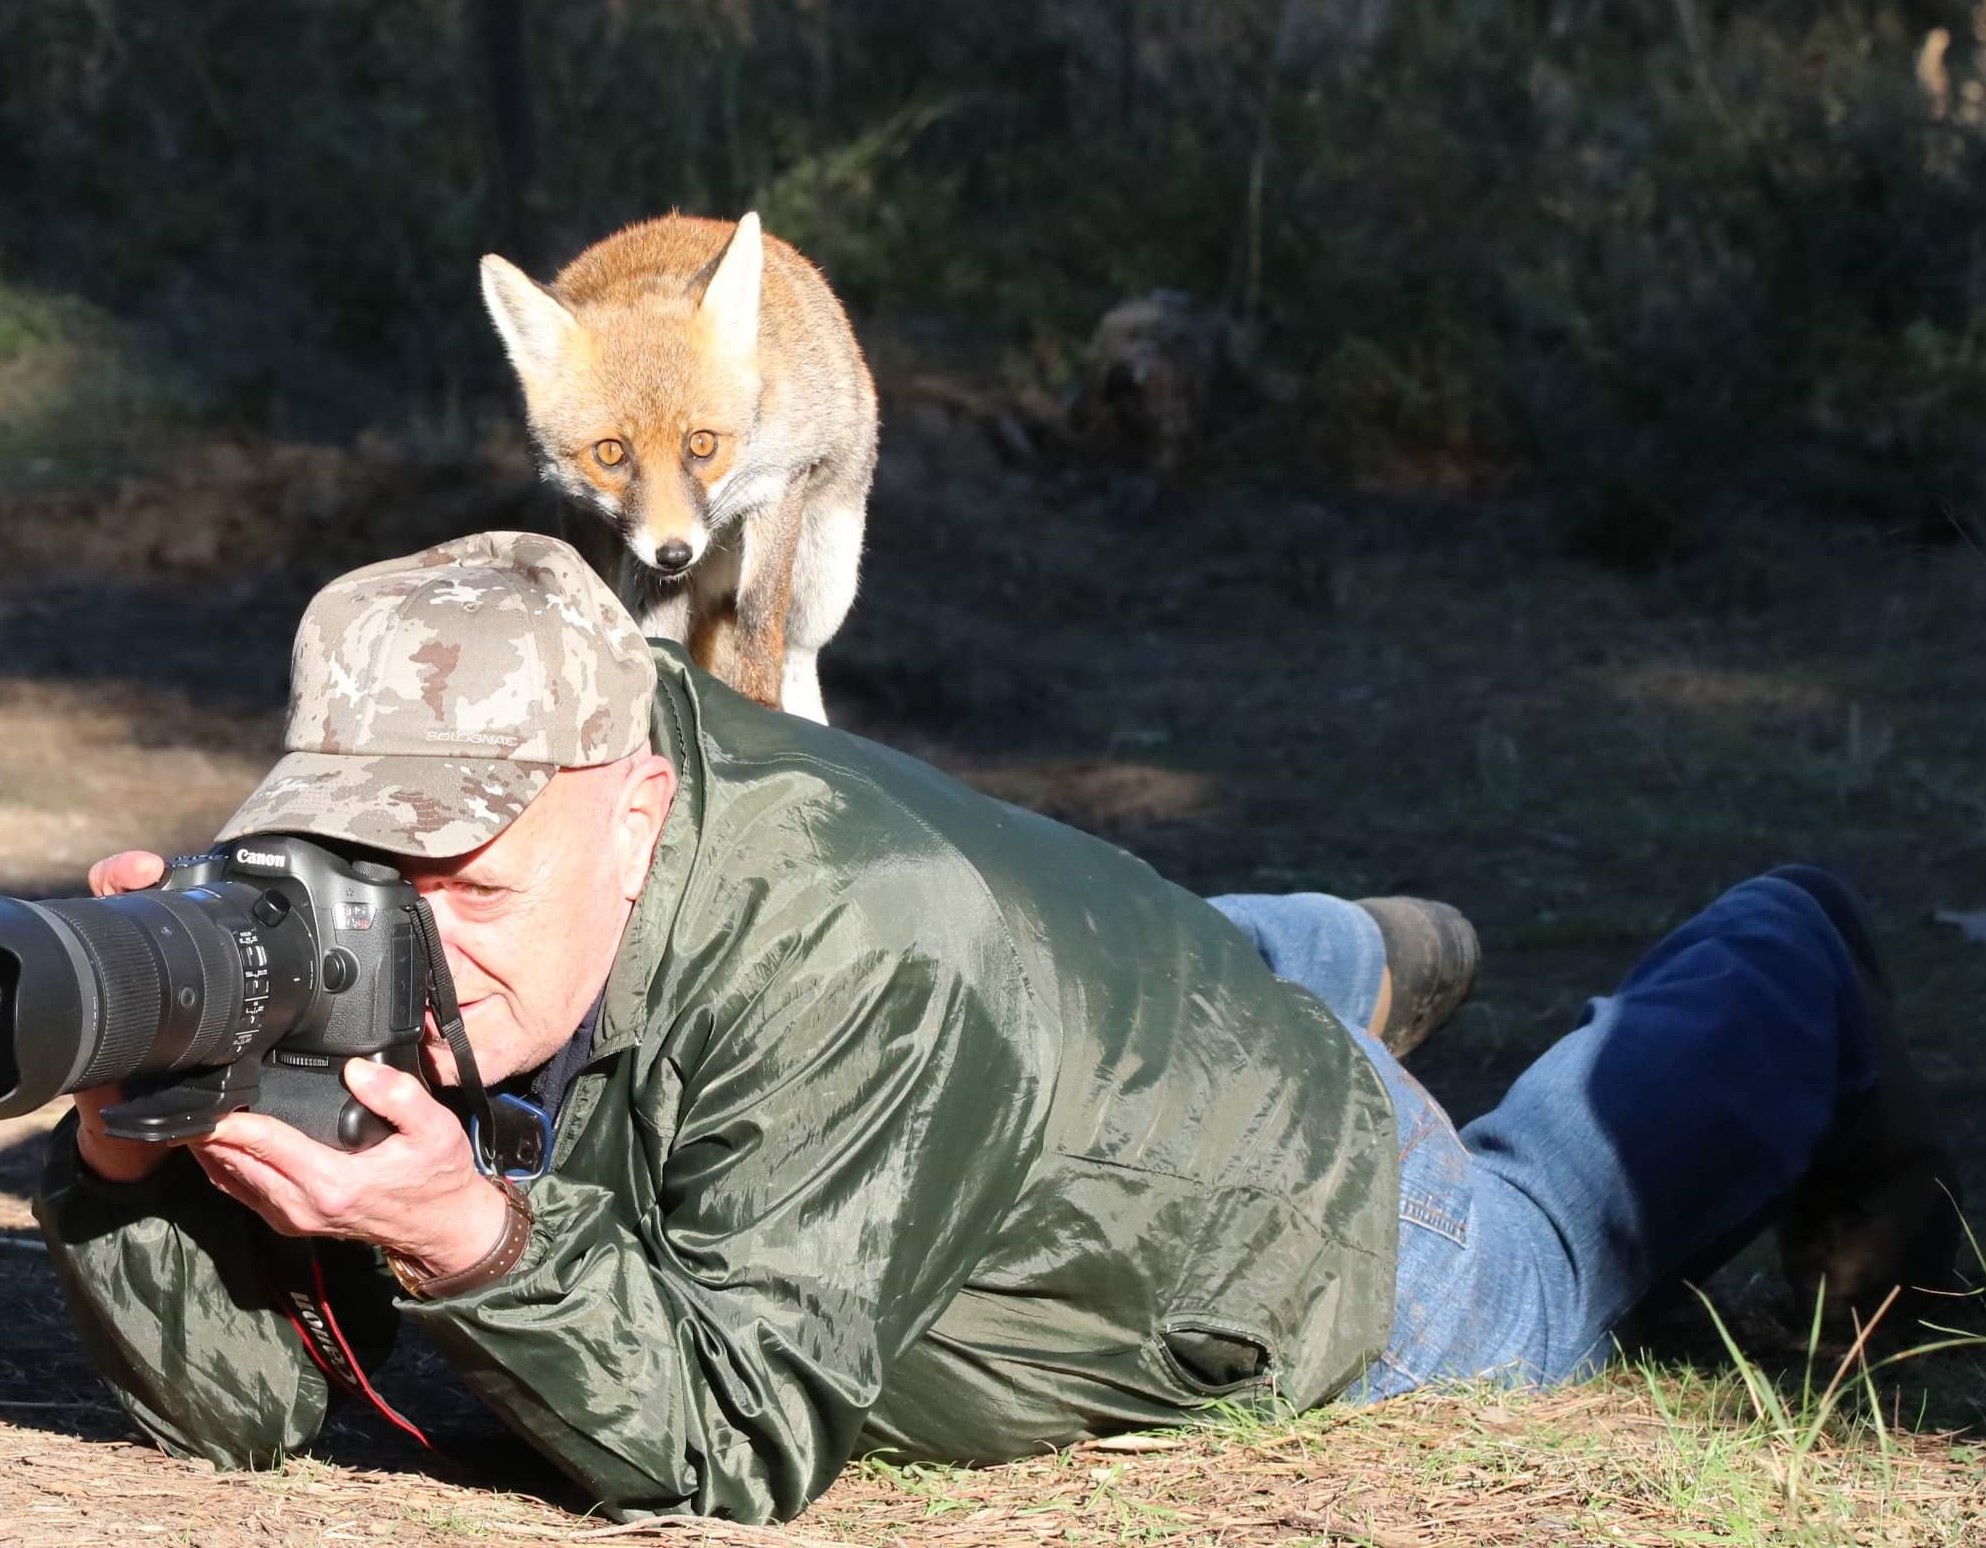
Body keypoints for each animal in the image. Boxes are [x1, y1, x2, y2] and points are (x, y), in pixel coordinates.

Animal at [478, 211, 877, 723]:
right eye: (611, 453)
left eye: (702, 444)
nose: (674, 554)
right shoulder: (582, 514)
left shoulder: (779, 484)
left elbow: (760, 614)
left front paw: (758, 703)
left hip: (825, 579)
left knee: (799, 653)